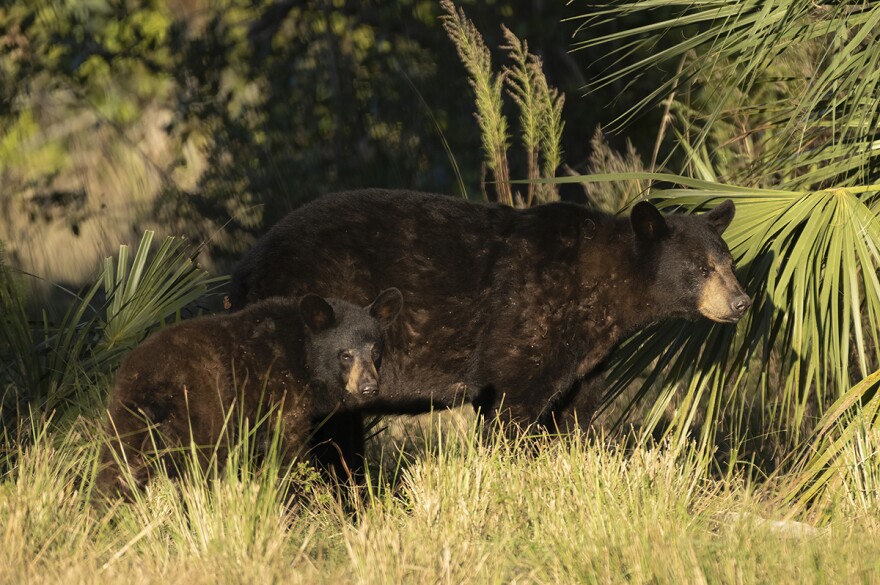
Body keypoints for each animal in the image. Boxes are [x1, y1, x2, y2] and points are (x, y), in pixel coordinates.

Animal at [95, 287, 403, 501]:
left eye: (376, 350)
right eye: (345, 354)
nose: (369, 387)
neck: (304, 353)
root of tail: (151, 375)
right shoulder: (282, 391)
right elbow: (288, 448)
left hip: (127, 411)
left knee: (118, 466)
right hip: (203, 402)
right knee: (202, 462)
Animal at [228, 189, 751, 473]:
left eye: (728, 262)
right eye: (701, 268)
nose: (741, 303)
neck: (602, 283)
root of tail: (247, 264)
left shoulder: (588, 351)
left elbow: (577, 413)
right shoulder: (530, 316)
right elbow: (515, 406)